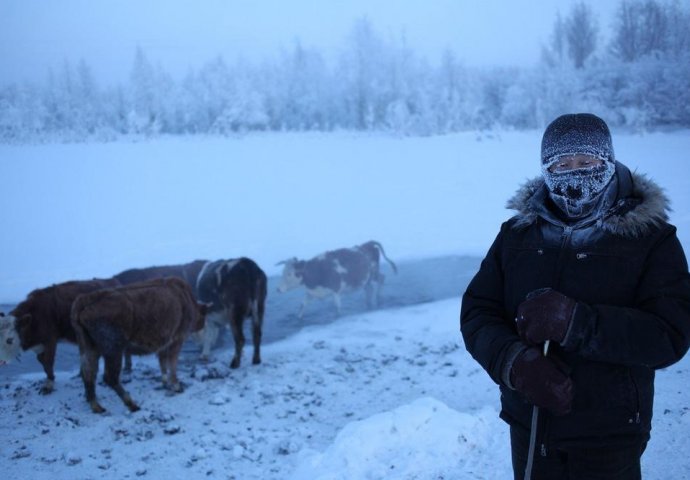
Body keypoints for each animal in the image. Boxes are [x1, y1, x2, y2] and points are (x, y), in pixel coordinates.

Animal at [73, 276, 207, 414]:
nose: (201, 324)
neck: (185, 297)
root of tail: (85, 300)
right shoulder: (176, 340)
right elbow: (172, 365)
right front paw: (176, 386)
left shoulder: (164, 345)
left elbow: (163, 363)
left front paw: (165, 382)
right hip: (113, 350)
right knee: (109, 377)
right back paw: (132, 404)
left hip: (89, 348)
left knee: (88, 373)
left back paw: (96, 406)